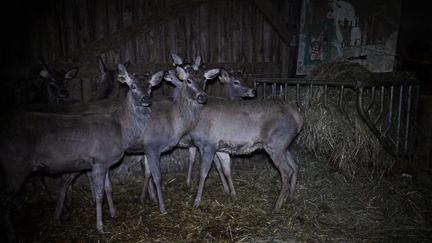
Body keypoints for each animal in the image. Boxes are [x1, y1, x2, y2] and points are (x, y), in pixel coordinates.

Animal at [0, 63, 164, 241]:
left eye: (150, 86)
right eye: (132, 85)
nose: (146, 100)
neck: (120, 130)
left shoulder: (106, 161)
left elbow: (108, 187)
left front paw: (114, 213)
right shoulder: (99, 160)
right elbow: (99, 194)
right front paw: (100, 226)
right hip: (16, 164)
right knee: (5, 199)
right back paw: (11, 233)